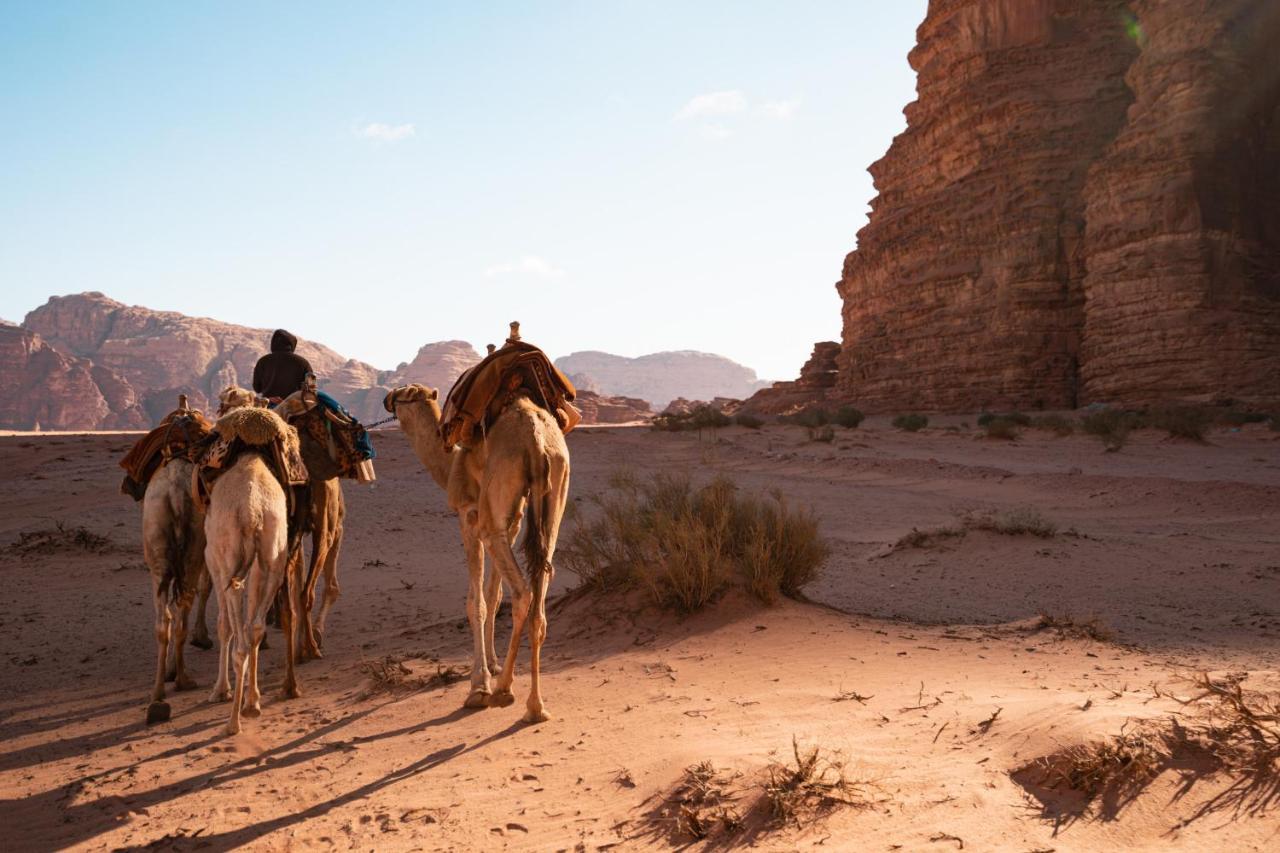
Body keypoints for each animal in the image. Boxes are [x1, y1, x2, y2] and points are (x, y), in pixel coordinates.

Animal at [204, 391, 304, 732]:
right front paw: (251, 697)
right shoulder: (259, 562)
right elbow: (249, 623)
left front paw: (220, 690)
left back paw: (233, 721)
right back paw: (252, 705)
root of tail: (251, 509)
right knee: (256, 627)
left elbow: (224, 625)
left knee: (240, 638)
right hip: (274, 554)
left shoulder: (214, 561)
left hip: (229, 557)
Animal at [378, 379, 570, 717]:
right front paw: (492, 666)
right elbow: (493, 595)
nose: (388, 397)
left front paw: (479, 685)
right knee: (540, 591)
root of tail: (535, 440)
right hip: (554, 492)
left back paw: (503, 692)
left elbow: (476, 601)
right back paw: (534, 705)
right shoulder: (511, 521)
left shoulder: (469, 515)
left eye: (403, 394)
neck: (450, 463)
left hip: (498, 500)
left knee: (523, 592)